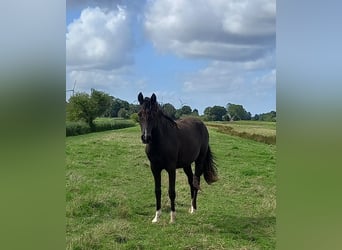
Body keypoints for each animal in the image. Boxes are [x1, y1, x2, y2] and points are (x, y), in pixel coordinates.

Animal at [138, 92, 218, 223]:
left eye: (153, 115)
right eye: (139, 114)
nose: (146, 137)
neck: (161, 142)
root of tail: (201, 124)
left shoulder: (171, 169)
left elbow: (172, 192)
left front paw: (172, 218)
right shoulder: (154, 168)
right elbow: (157, 191)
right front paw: (157, 217)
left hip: (199, 161)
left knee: (196, 181)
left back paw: (194, 209)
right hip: (186, 164)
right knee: (191, 181)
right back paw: (190, 208)